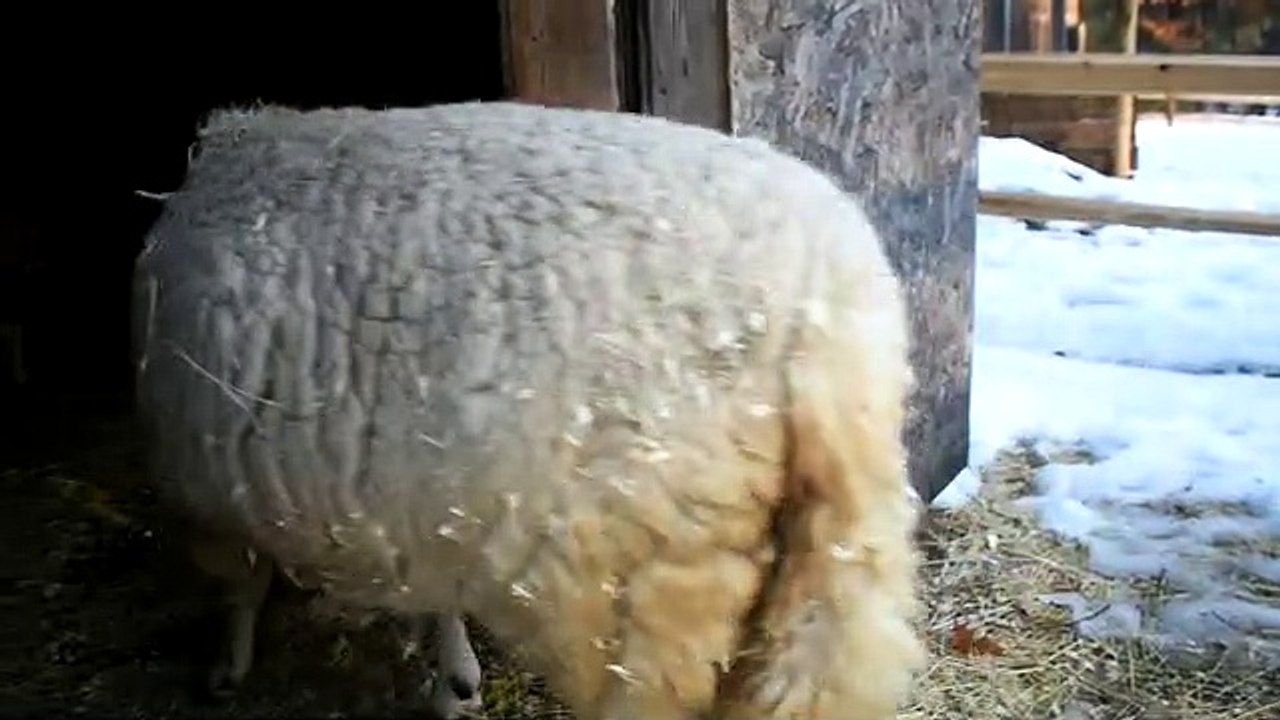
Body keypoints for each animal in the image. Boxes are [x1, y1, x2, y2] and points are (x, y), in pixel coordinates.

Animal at [131, 100, 926, 720]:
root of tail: (818, 299)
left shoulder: (206, 491)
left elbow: (239, 586)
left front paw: (227, 669)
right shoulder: (412, 504)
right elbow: (429, 595)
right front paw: (455, 677)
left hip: (644, 588)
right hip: (837, 547)